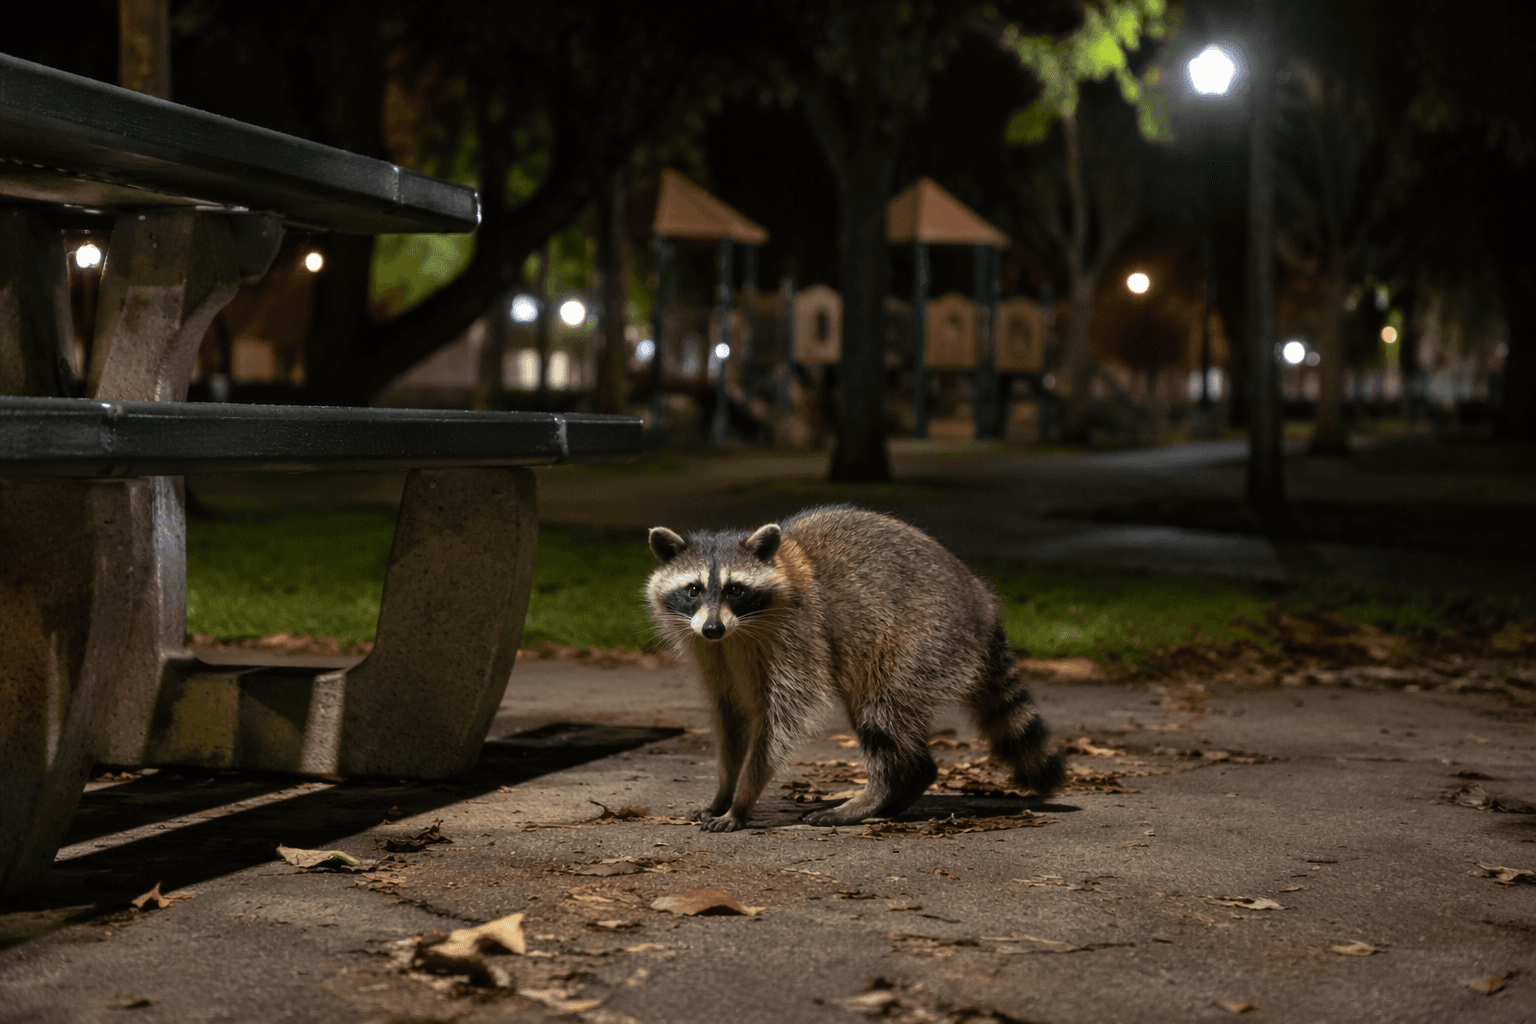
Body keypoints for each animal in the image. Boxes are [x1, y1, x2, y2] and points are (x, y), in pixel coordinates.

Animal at [644, 505, 1064, 833]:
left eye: (735, 589)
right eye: (694, 589)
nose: (713, 628)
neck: (735, 632)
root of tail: (983, 602)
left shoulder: (798, 636)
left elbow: (783, 721)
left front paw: (744, 797)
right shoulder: (709, 654)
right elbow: (730, 720)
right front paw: (724, 791)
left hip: (924, 639)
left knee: (880, 713)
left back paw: (877, 793)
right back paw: (907, 785)